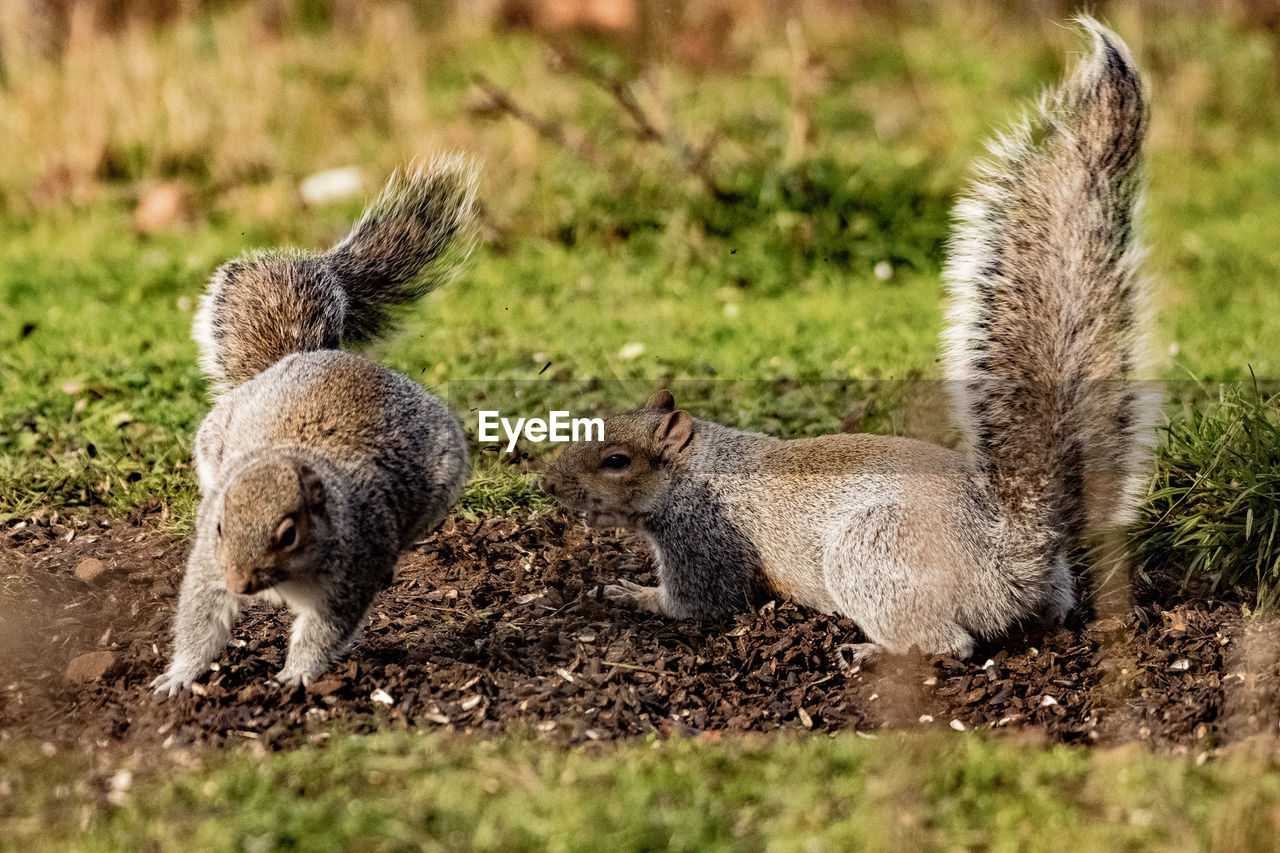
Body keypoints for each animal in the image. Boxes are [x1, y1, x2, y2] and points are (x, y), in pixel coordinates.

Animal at [151, 156, 481, 696]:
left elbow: (326, 630)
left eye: (289, 533)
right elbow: (201, 617)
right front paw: (180, 675)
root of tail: (312, 355)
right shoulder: (210, 564)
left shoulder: (352, 570)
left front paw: (295, 676)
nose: (240, 583)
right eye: (219, 526)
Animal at [540, 18, 1162, 655]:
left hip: (871, 557)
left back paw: (870, 649)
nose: (547, 484)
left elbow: (698, 604)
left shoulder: (703, 539)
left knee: (949, 644)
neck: (697, 467)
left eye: (617, 460)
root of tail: (1009, 561)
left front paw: (631, 594)